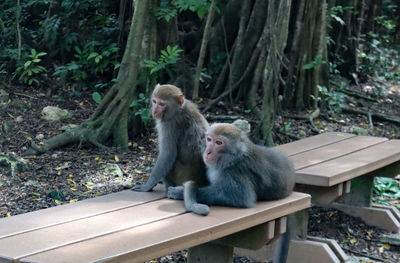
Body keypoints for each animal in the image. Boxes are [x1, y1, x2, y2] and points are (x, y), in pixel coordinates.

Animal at [167, 124, 296, 263]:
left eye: (219, 143)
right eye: (209, 139)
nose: (207, 152)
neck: (232, 158)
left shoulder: (235, 172)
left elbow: (241, 198)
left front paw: (179, 192)